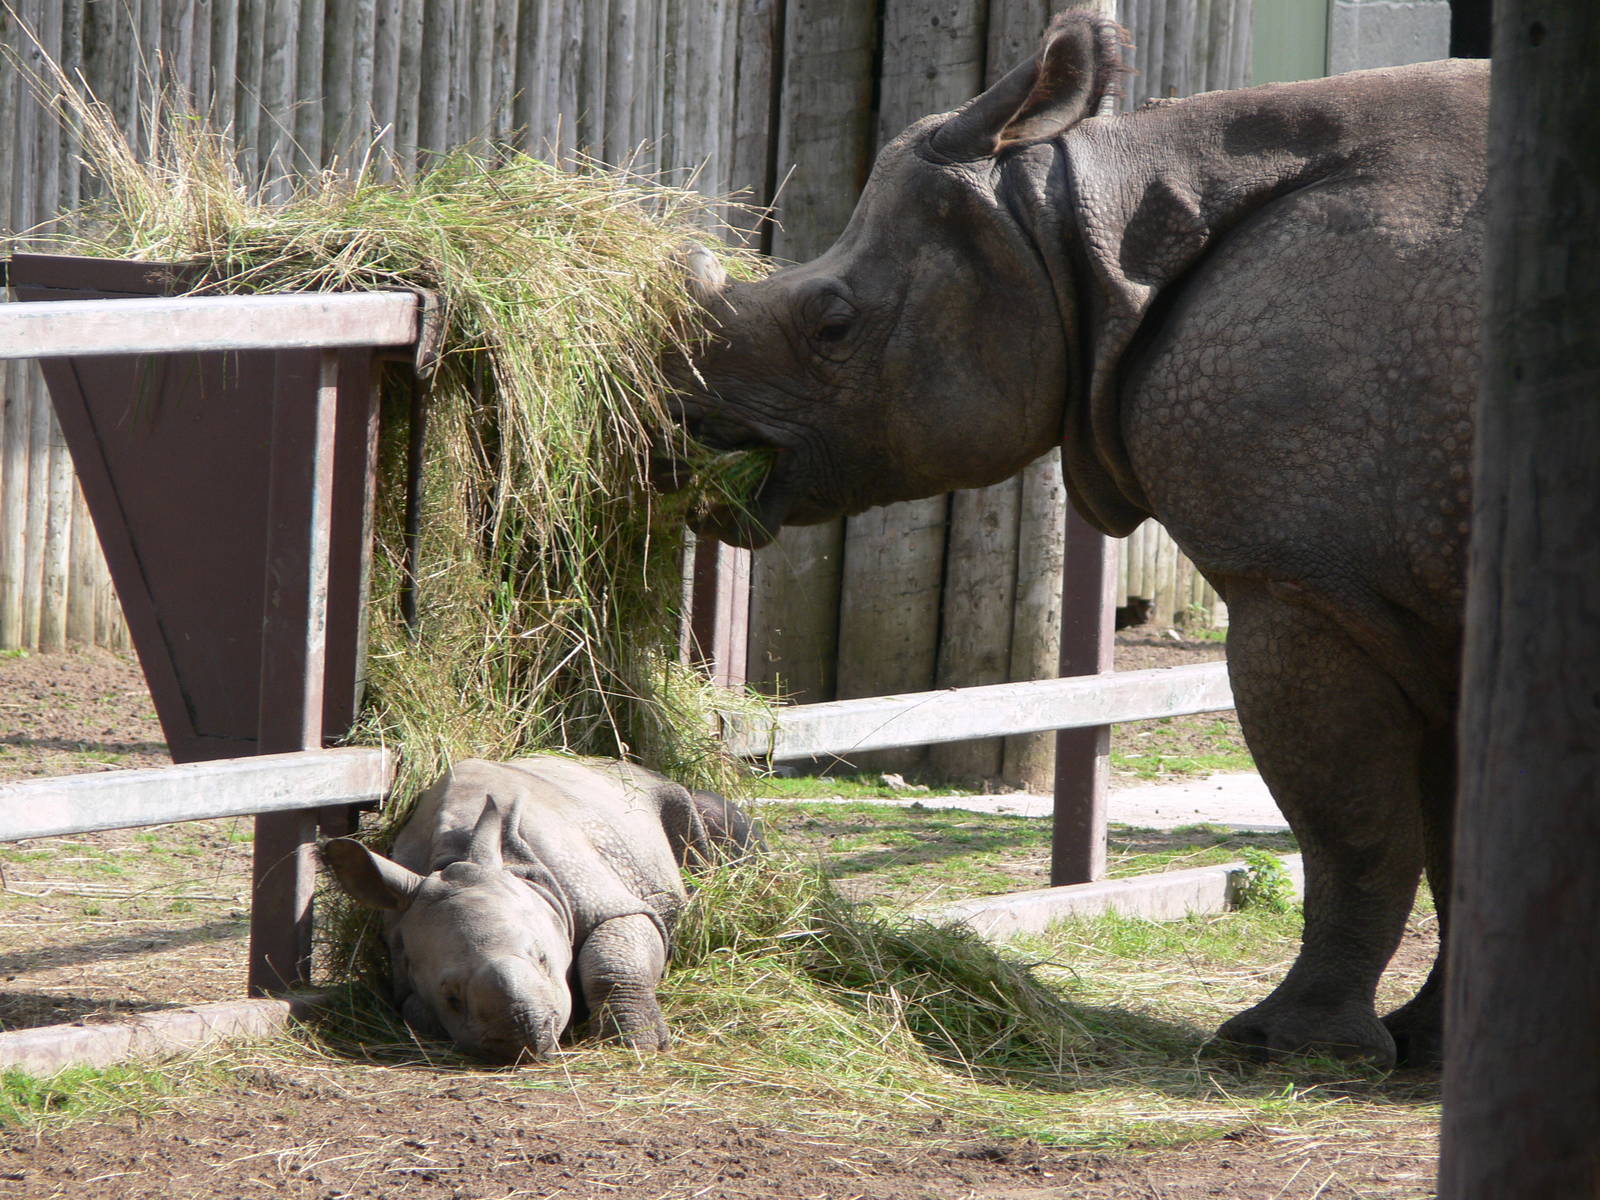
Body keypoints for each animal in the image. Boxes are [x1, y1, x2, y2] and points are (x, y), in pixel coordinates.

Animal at [322, 756, 756, 1062]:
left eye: (544, 959)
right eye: (451, 998)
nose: (523, 1035)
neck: (454, 860)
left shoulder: (604, 900)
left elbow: (611, 957)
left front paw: (638, 1042)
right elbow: (415, 1010)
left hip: (657, 793)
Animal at [669, 12, 1487, 1067]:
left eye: (832, 323)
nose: (688, 426)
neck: (1077, 228)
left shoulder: (1303, 584)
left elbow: (1351, 826)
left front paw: (1286, 1045)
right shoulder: (1415, 589)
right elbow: (1447, 826)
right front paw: (1433, 1043)